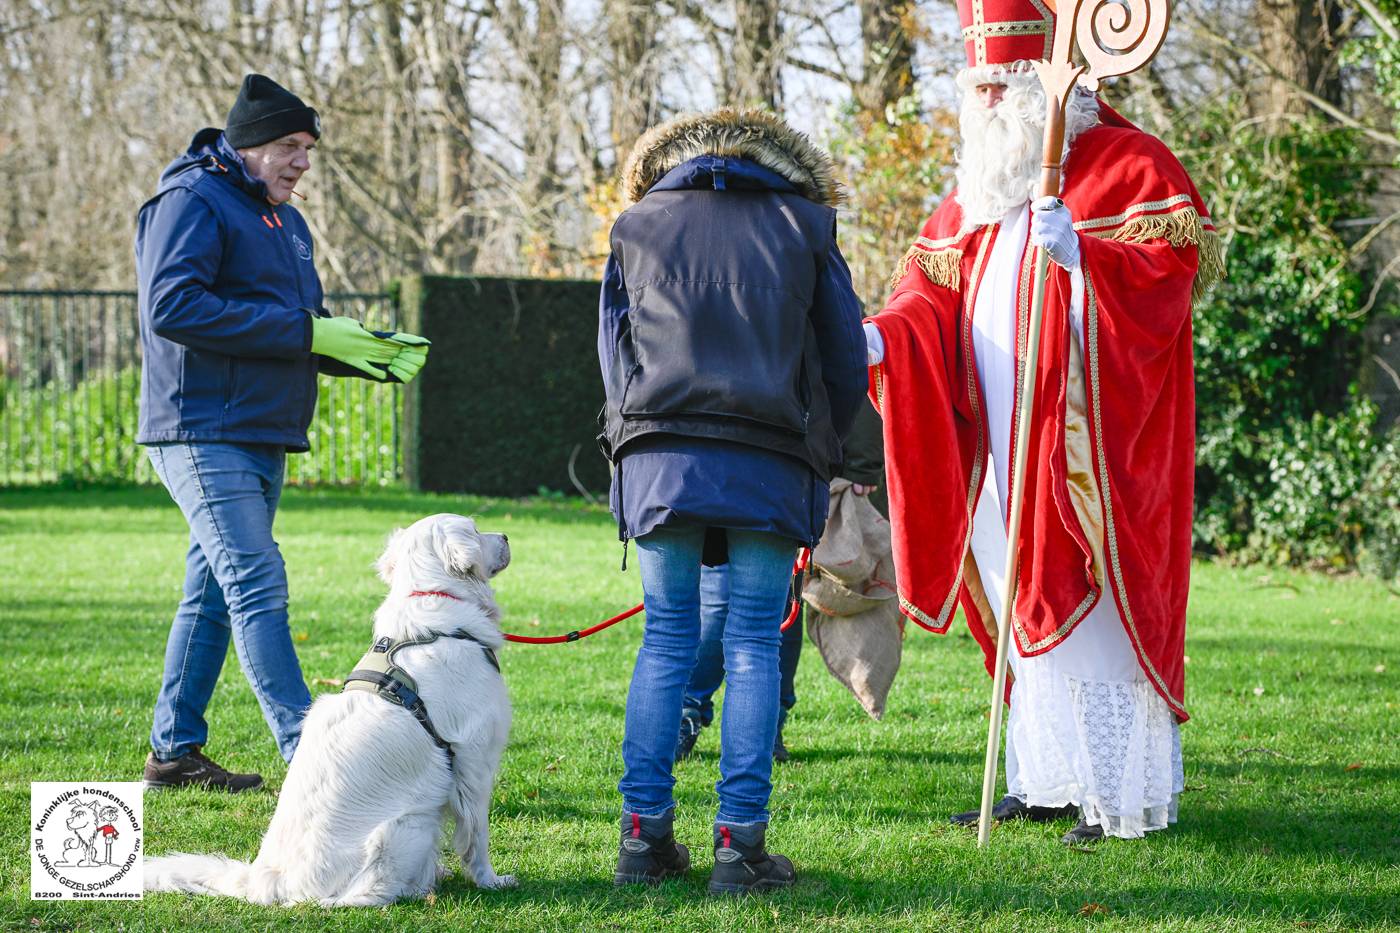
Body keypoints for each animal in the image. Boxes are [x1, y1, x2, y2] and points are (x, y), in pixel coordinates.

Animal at [146, 509, 515, 902]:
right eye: (475, 530)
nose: (507, 536)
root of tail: (265, 879)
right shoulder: (474, 762)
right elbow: (476, 835)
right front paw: (490, 880)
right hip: (409, 823)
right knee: (358, 895)